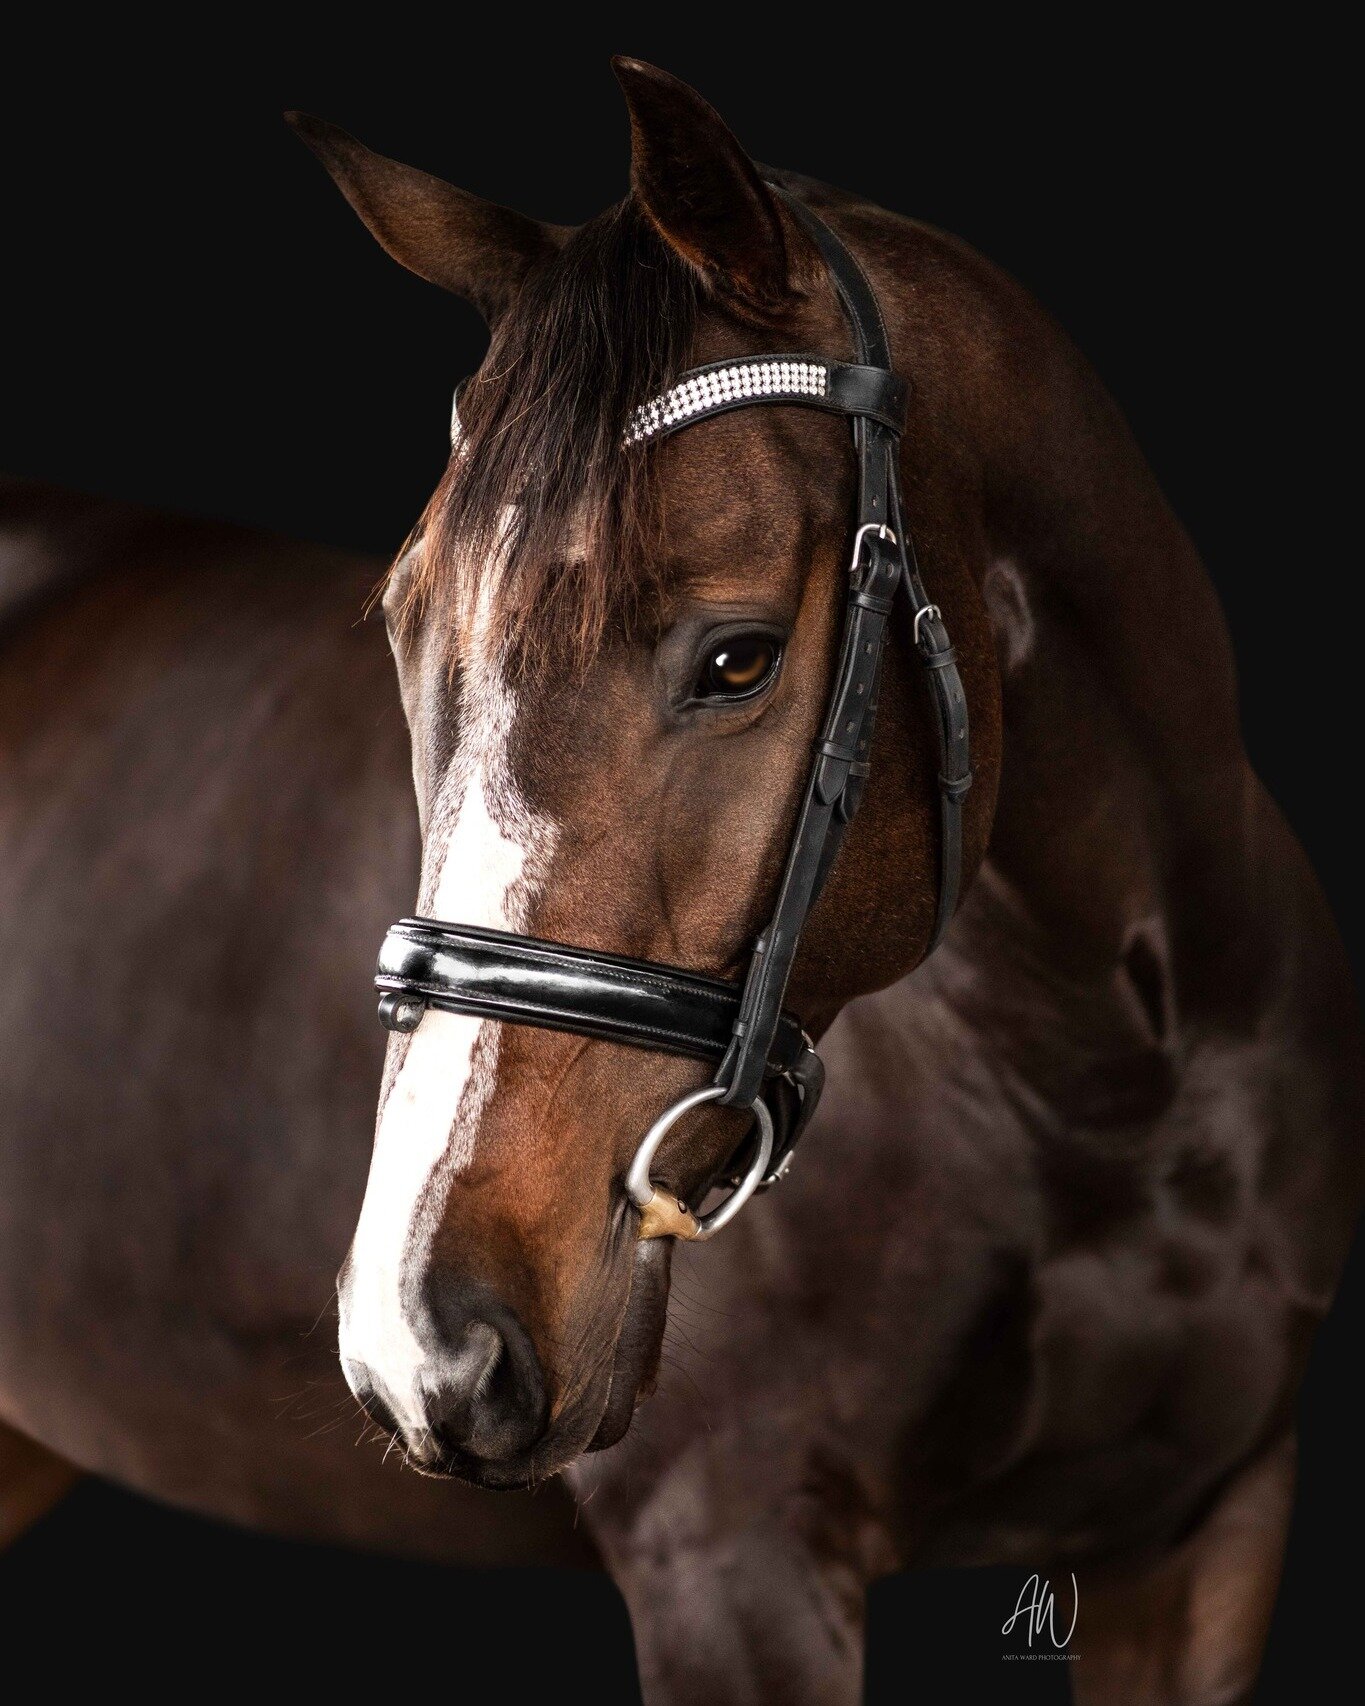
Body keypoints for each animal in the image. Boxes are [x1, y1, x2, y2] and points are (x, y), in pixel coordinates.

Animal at [0, 56, 1358, 1706]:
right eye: (402, 621)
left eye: (738, 657)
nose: (420, 1332)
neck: (1103, 1075)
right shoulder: (735, 1561)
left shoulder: (1208, 1531)